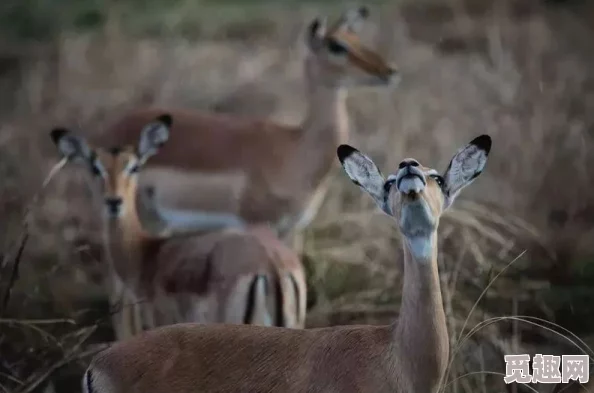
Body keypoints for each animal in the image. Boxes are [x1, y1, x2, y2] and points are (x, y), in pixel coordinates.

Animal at [93, 6, 398, 242]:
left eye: (356, 38)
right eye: (336, 45)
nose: (389, 72)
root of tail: (109, 129)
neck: (296, 149)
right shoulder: (258, 226)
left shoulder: (290, 230)